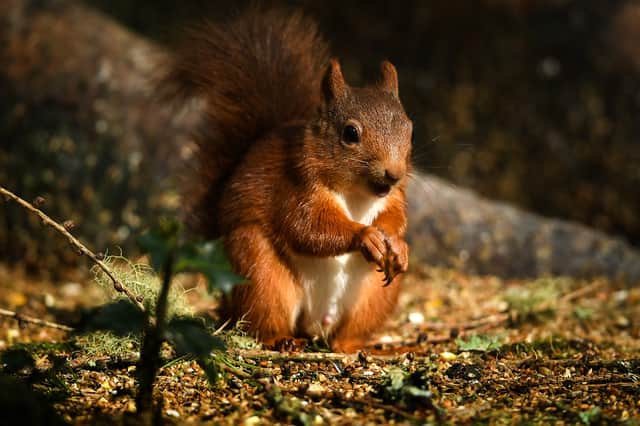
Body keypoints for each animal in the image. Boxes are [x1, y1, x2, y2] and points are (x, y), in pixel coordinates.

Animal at [165, 8, 413, 353]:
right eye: (350, 133)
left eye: (409, 128)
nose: (394, 173)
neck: (358, 194)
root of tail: (316, 324)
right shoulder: (295, 187)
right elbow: (306, 228)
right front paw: (365, 235)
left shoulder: (394, 197)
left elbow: (395, 218)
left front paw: (397, 245)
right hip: (260, 271)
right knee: (263, 321)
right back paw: (282, 339)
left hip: (374, 297)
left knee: (346, 335)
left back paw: (359, 346)